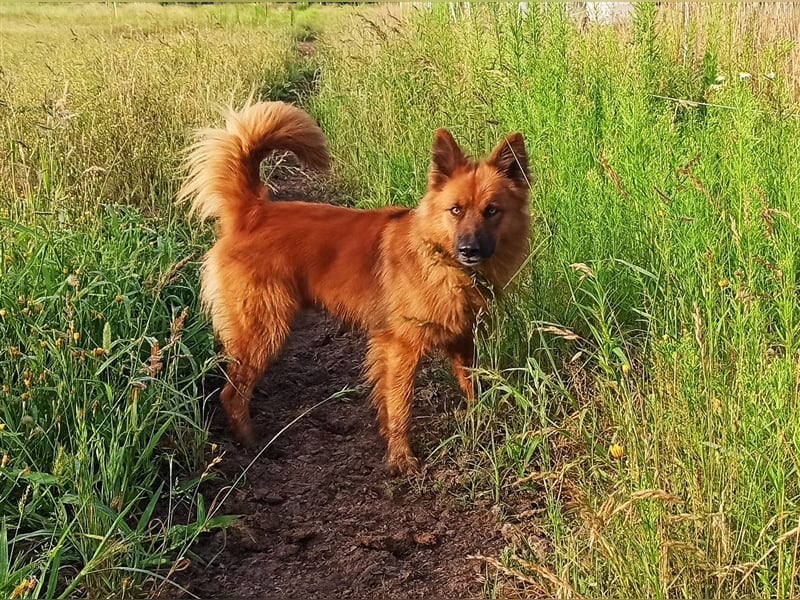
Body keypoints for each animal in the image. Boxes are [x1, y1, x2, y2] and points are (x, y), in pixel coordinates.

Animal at [180, 101, 532, 474]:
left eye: (492, 211)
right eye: (456, 210)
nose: (469, 249)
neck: (442, 262)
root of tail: (252, 212)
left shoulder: (462, 339)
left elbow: (471, 384)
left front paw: (481, 418)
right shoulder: (400, 348)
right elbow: (400, 407)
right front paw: (402, 459)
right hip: (263, 331)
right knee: (231, 394)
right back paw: (252, 445)